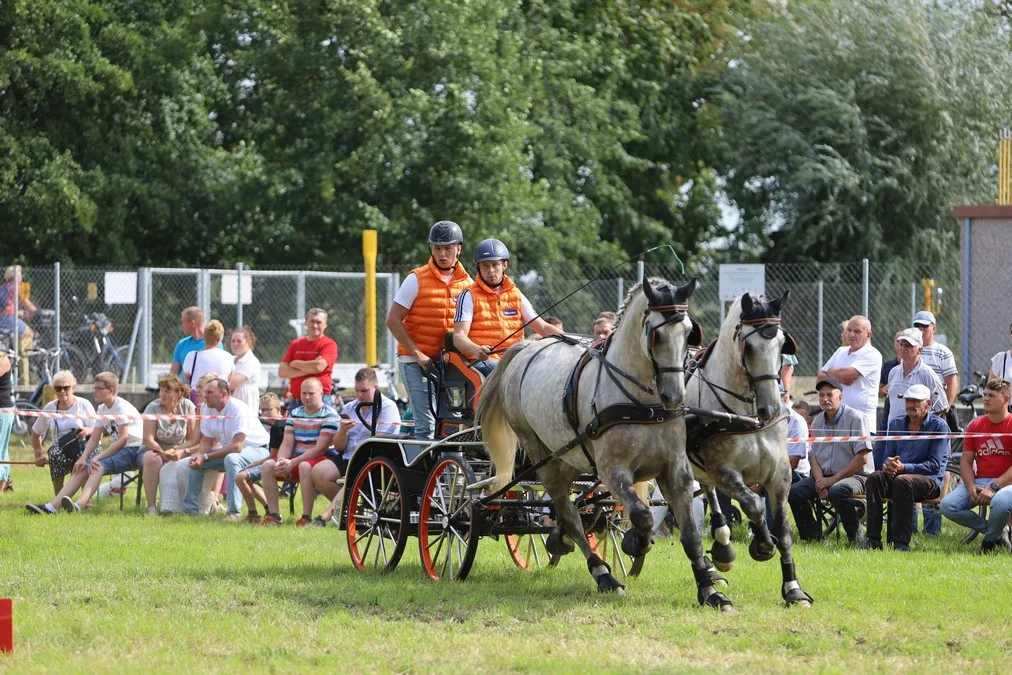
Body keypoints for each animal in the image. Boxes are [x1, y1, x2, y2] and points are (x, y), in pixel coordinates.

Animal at [477, 277, 732, 611]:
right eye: (656, 332)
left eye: (690, 331)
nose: (675, 396)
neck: (642, 401)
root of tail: (525, 350)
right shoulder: (613, 471)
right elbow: (642, 516)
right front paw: (635, 542)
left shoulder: (676, 470)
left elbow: (690, 534)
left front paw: (709, 589)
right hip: (542, 455)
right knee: (568, 512)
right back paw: (602, 574)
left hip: (570, 456)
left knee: (572, 505)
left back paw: (561, 540)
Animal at [680, 293, 813, 611]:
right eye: (749, 347)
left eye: (782, 344)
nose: (771, 408)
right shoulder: (724, 471)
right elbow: (753, 504)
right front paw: (763, 546)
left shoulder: (780, 476)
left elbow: (784, 531)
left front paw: (793, 589)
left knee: (707, 493)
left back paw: (719, 550)